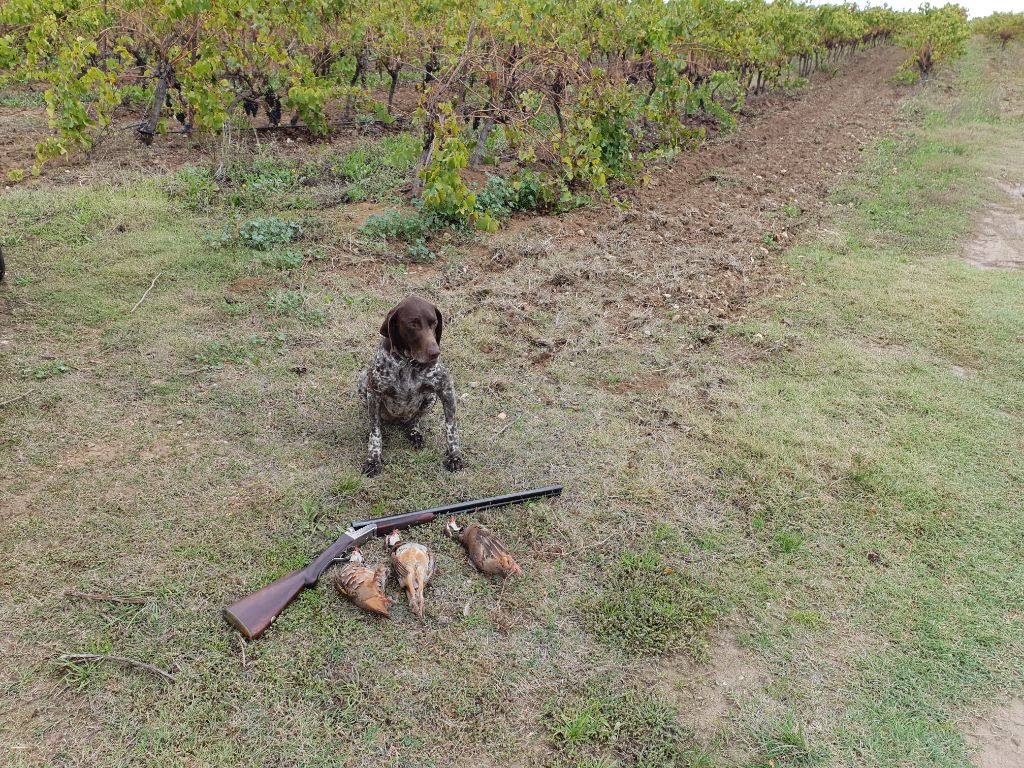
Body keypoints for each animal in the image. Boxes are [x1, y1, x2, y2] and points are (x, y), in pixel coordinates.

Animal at [354, 296, 462, 479]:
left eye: (434, 323)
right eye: (413, 324)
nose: (435, 353)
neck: (408, 363)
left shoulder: (445, 389)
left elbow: (451, 429)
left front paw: (454, 456)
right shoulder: (374, 393)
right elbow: (375, 433)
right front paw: (373, 459)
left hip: (430, 398)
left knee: (414, 421)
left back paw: (414, 434)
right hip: (363, 384)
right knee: (377, 422)